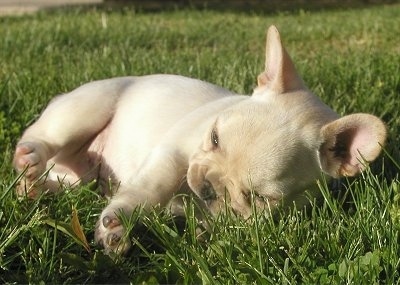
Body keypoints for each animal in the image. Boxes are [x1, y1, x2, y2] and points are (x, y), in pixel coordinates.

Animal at [14, 26, 386, 253]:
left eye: (258, 198)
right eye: (214, 138)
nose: (208, 187)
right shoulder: (174, 154)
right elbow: (152, 187)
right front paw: (119, 220)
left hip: (79, 179)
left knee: (64, 182)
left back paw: (34, 187)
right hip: (86, 108)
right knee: (40, 137)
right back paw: (29, 160)